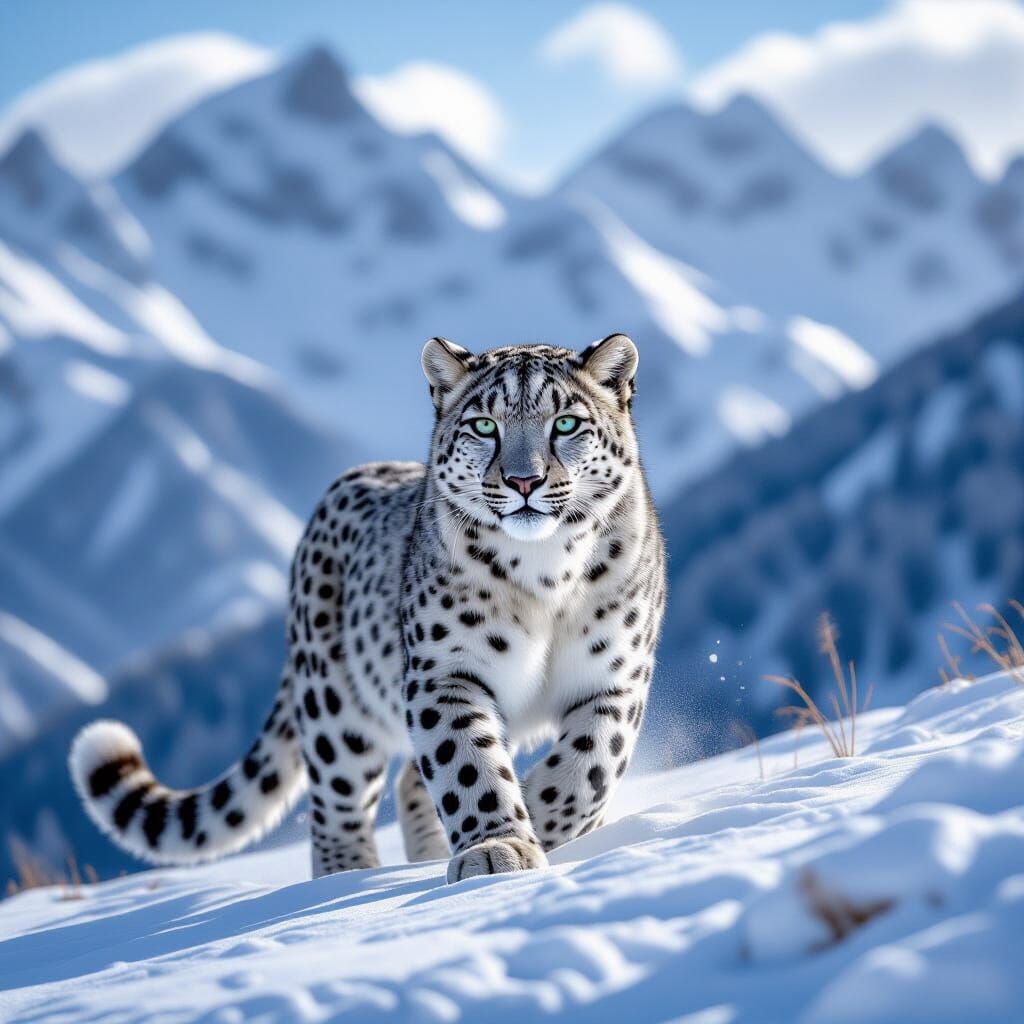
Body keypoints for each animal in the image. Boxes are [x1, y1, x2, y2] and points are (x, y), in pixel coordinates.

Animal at [70, 333, 666, 884]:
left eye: (565, 424)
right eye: (483, 426)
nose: (524, 480)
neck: (547, 573)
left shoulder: (614, 674)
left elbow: (588, 768)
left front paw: (537, 823)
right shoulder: (445, 671)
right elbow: (467, 765)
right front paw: (498, 847)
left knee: (408, 783)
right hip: (334, 706)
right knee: (339, 804)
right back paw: (347, 879)